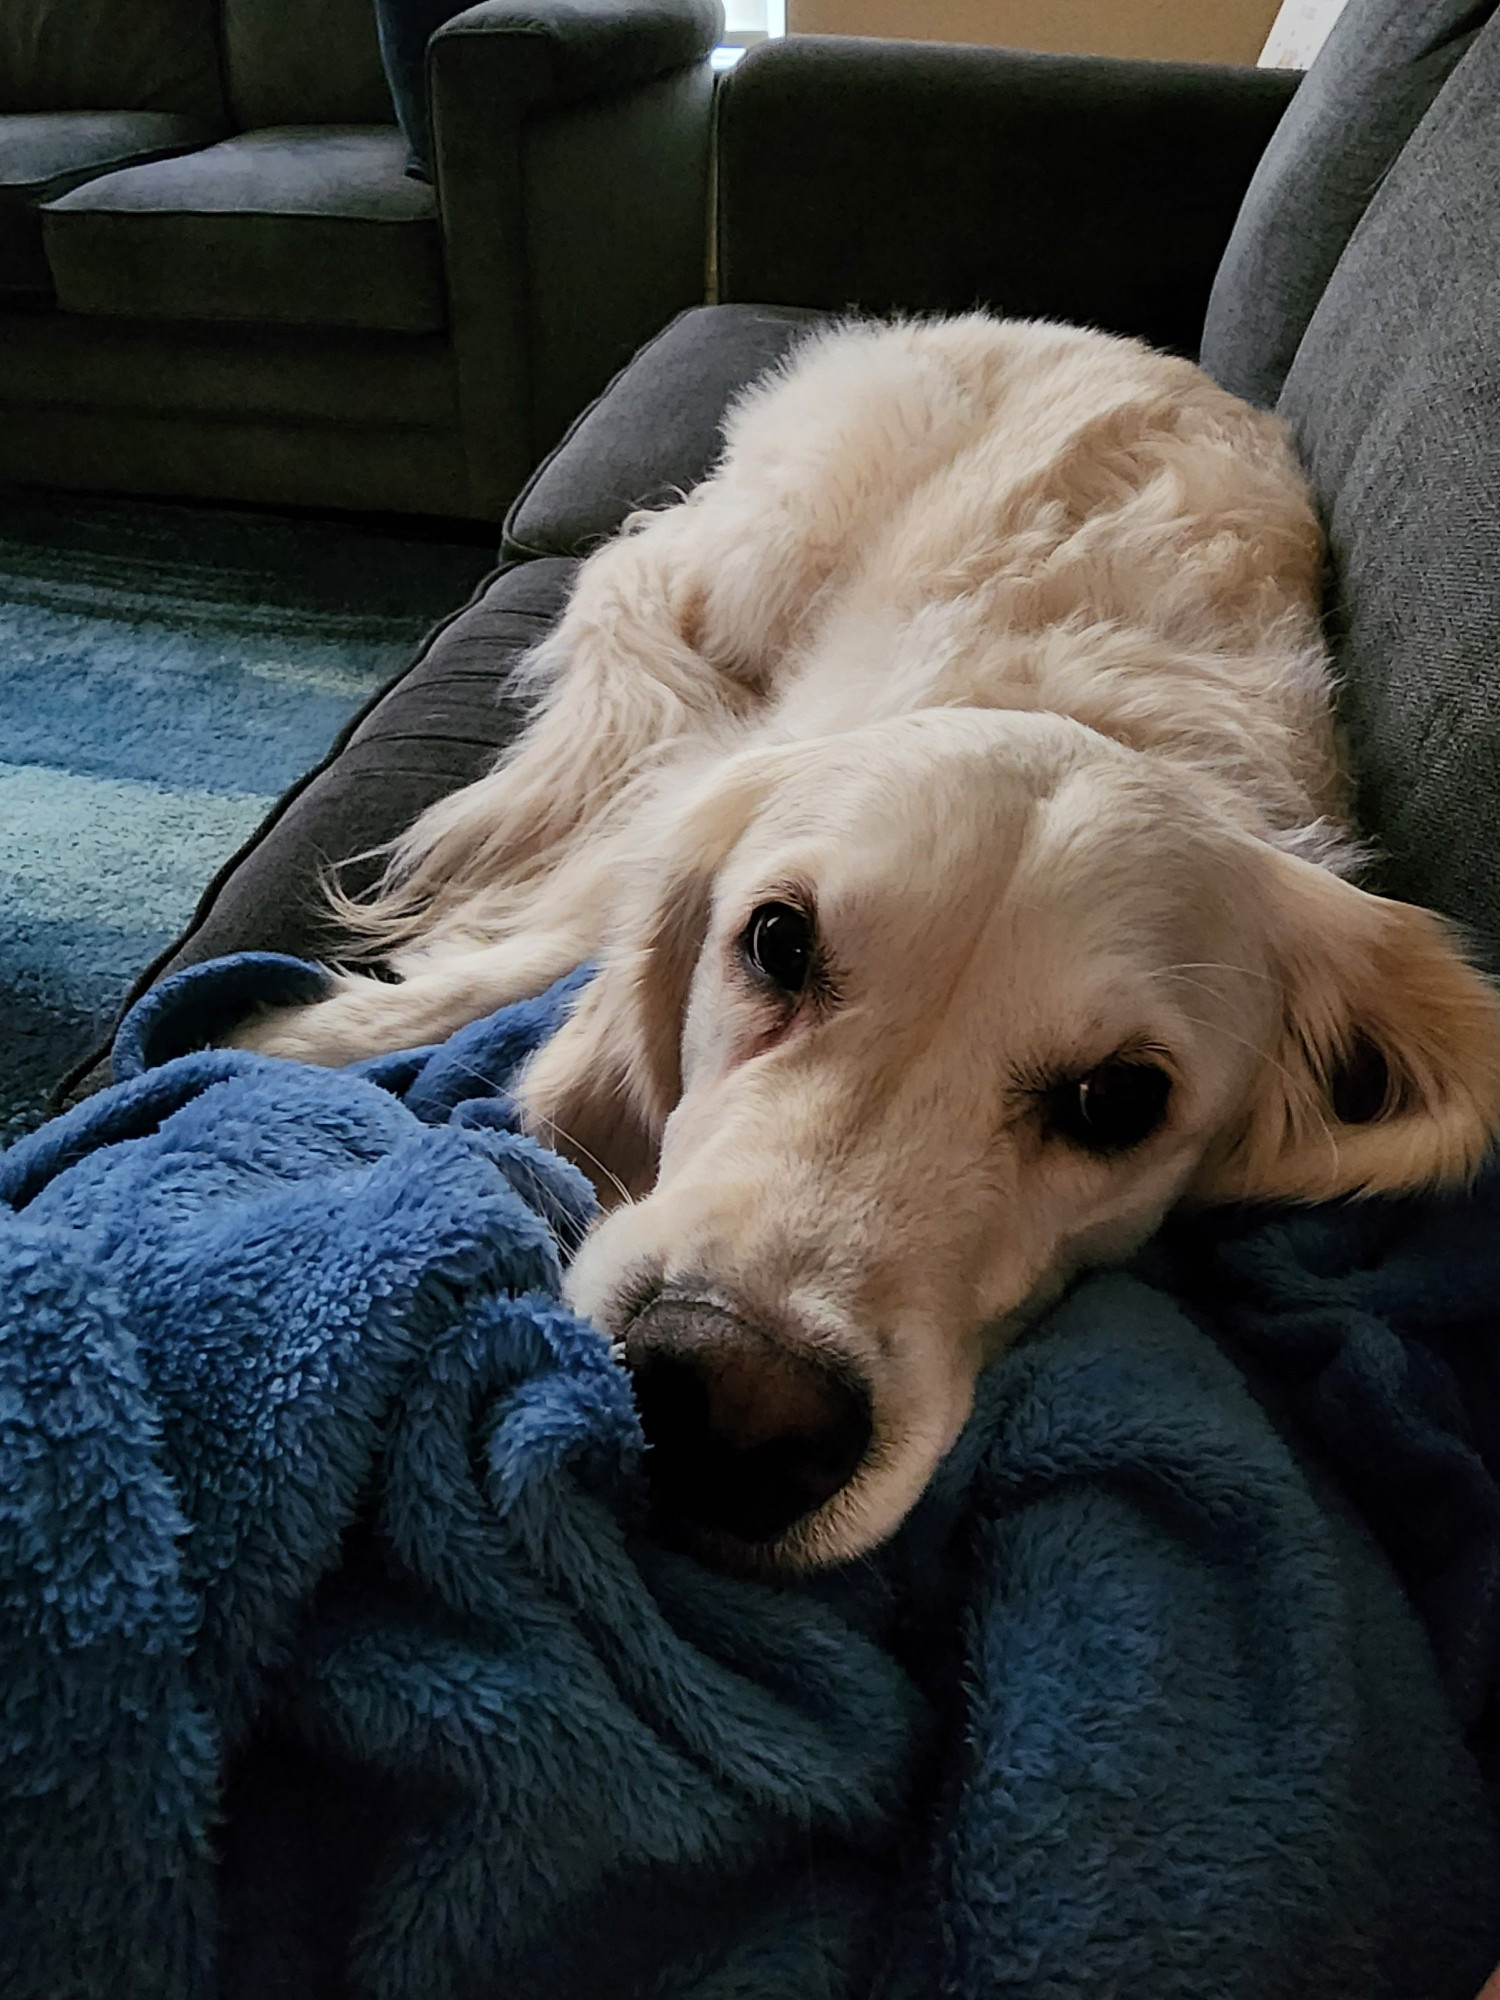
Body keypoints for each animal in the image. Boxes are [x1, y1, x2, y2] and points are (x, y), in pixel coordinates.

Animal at [238, 312, 1500, 1568]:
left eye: (1120, 1100)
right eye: (777, 940)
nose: (732, 1411)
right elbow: (535, 952)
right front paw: (286, 1035)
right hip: (768, 548)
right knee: (633, 564)